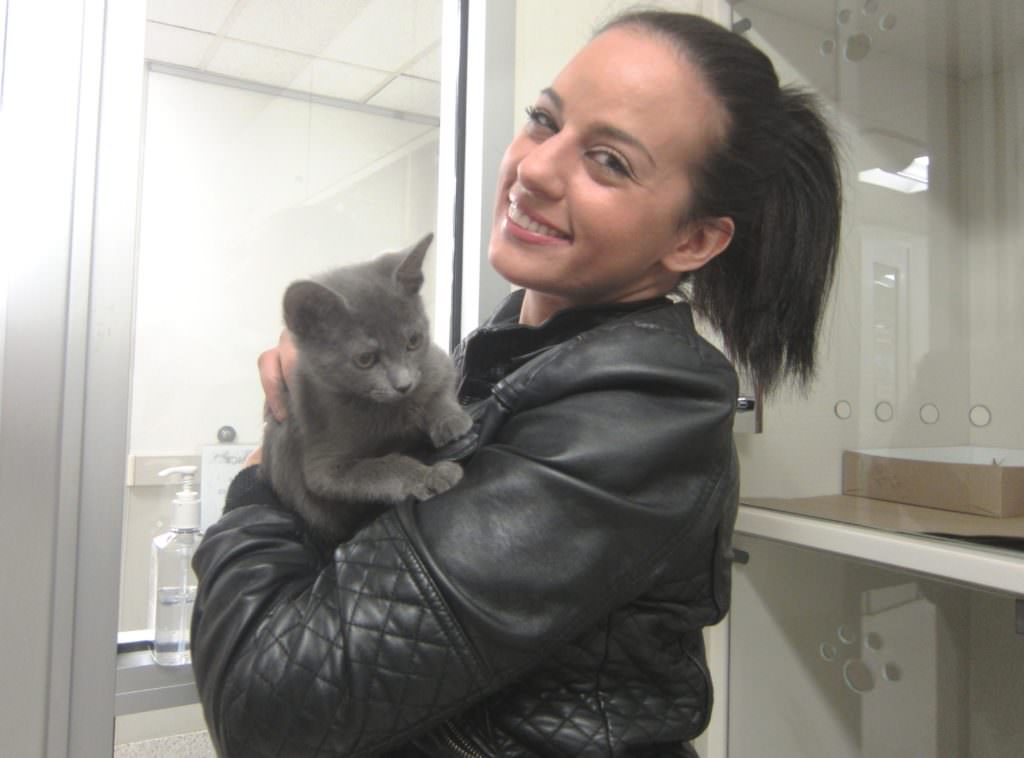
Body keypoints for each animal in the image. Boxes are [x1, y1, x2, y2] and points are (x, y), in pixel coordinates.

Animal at [262, 233, 473, 540]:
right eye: (365, 359)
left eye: (413, 341)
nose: (404, 385)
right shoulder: (323, 463)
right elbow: (382, 467)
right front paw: (428, 476)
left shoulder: (436, 362)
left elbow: (441, 385)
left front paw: (450, 419)